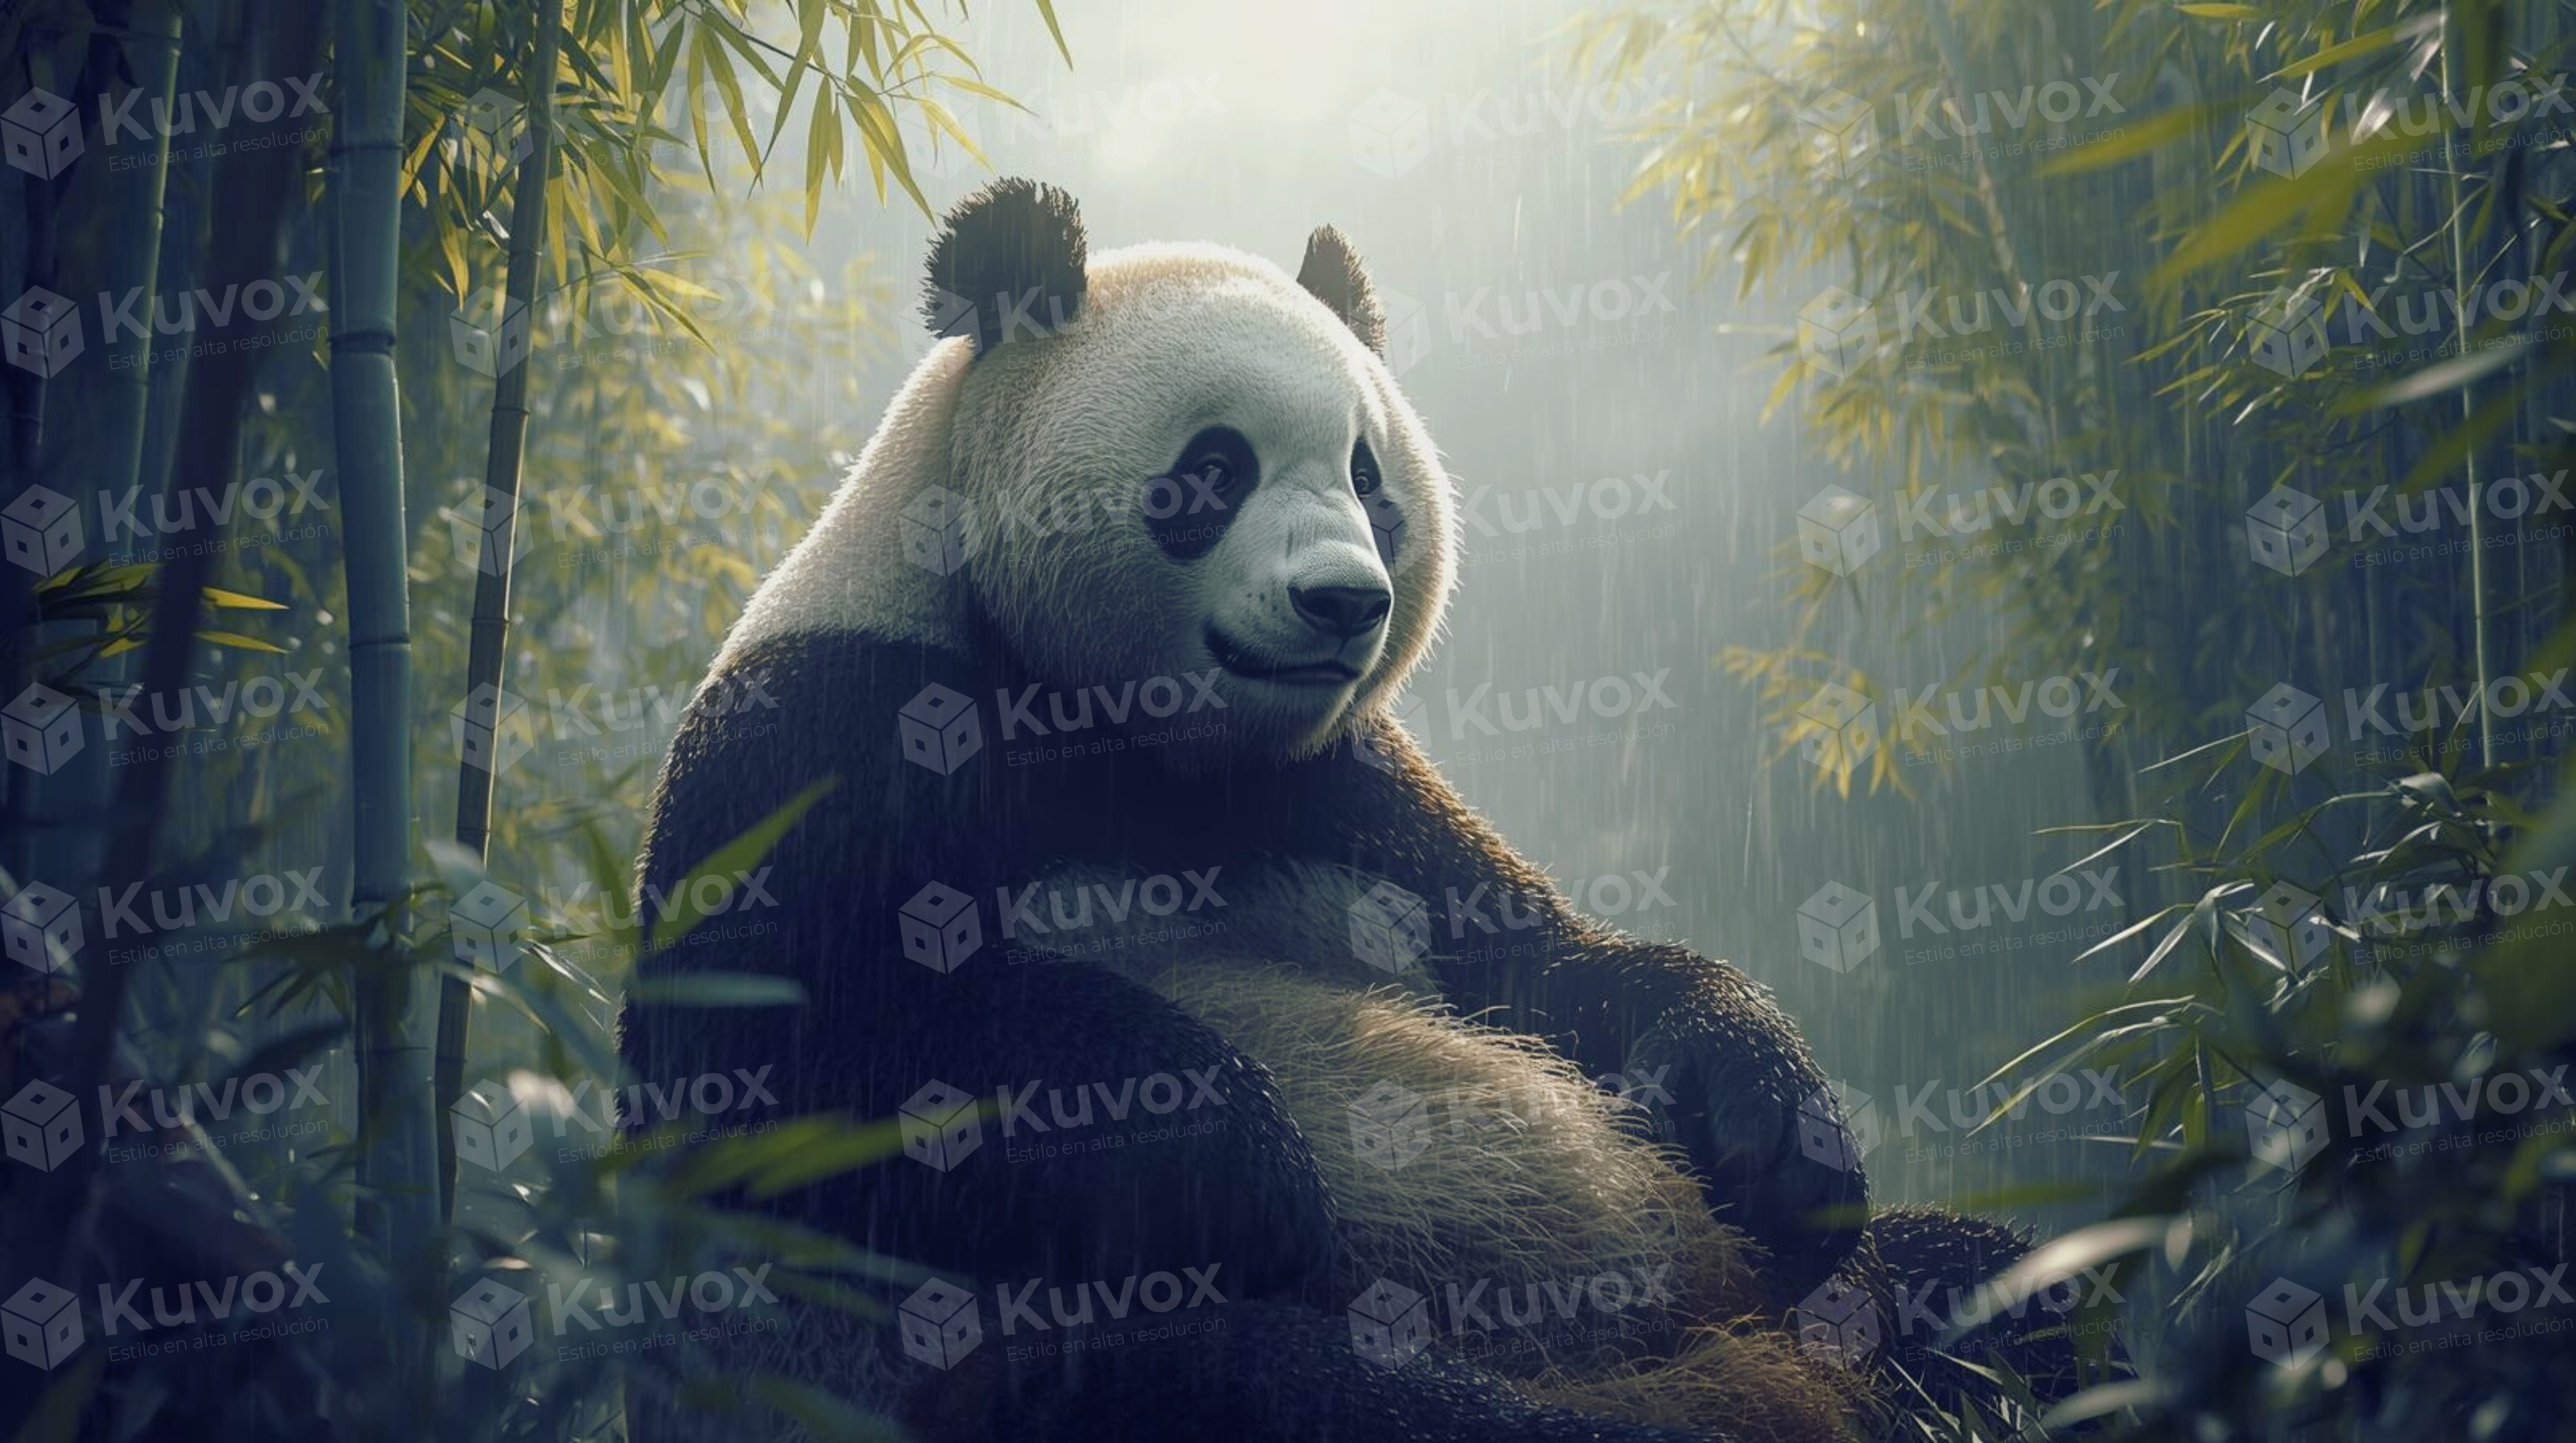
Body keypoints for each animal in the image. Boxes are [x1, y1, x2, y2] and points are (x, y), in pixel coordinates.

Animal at [618, 179, 2085, 1442]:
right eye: (1212, 470)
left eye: (1371, 478)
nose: (1343, 601)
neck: (1123, 737)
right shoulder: (823, 737)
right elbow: (794, 1059)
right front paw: (1232, 1156)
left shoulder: (1343, 786)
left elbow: (1544, 962)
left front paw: (1769, 1119)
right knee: (1258, 1385)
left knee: (2002, 1274)